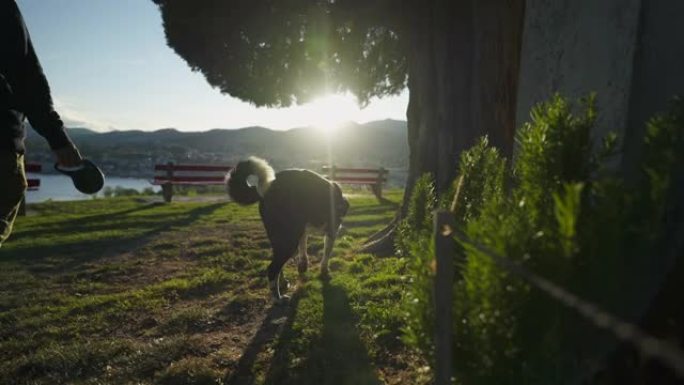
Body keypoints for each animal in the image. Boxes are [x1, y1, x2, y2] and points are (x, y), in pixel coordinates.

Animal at [228, 158, 350, 302]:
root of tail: (270, 188)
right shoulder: (331, 232)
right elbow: (326, 254)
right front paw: (324, 271)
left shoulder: (303, 232)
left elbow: (303, 251)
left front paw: (303, 266)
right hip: (289, 241)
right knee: (272, 269)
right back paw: (278, 298)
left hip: (280, 239)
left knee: (277, 265)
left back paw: (283, 283)